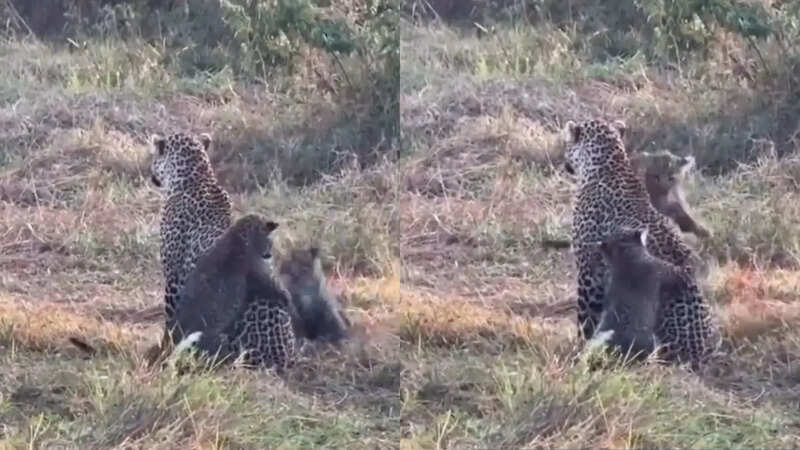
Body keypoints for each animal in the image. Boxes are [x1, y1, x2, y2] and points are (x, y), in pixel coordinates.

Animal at [561, 118, 720, 364]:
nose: (564, 162)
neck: (609, 165)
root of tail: (701, 353)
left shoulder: (588, 270)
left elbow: (586, 318)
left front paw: (579, 347)